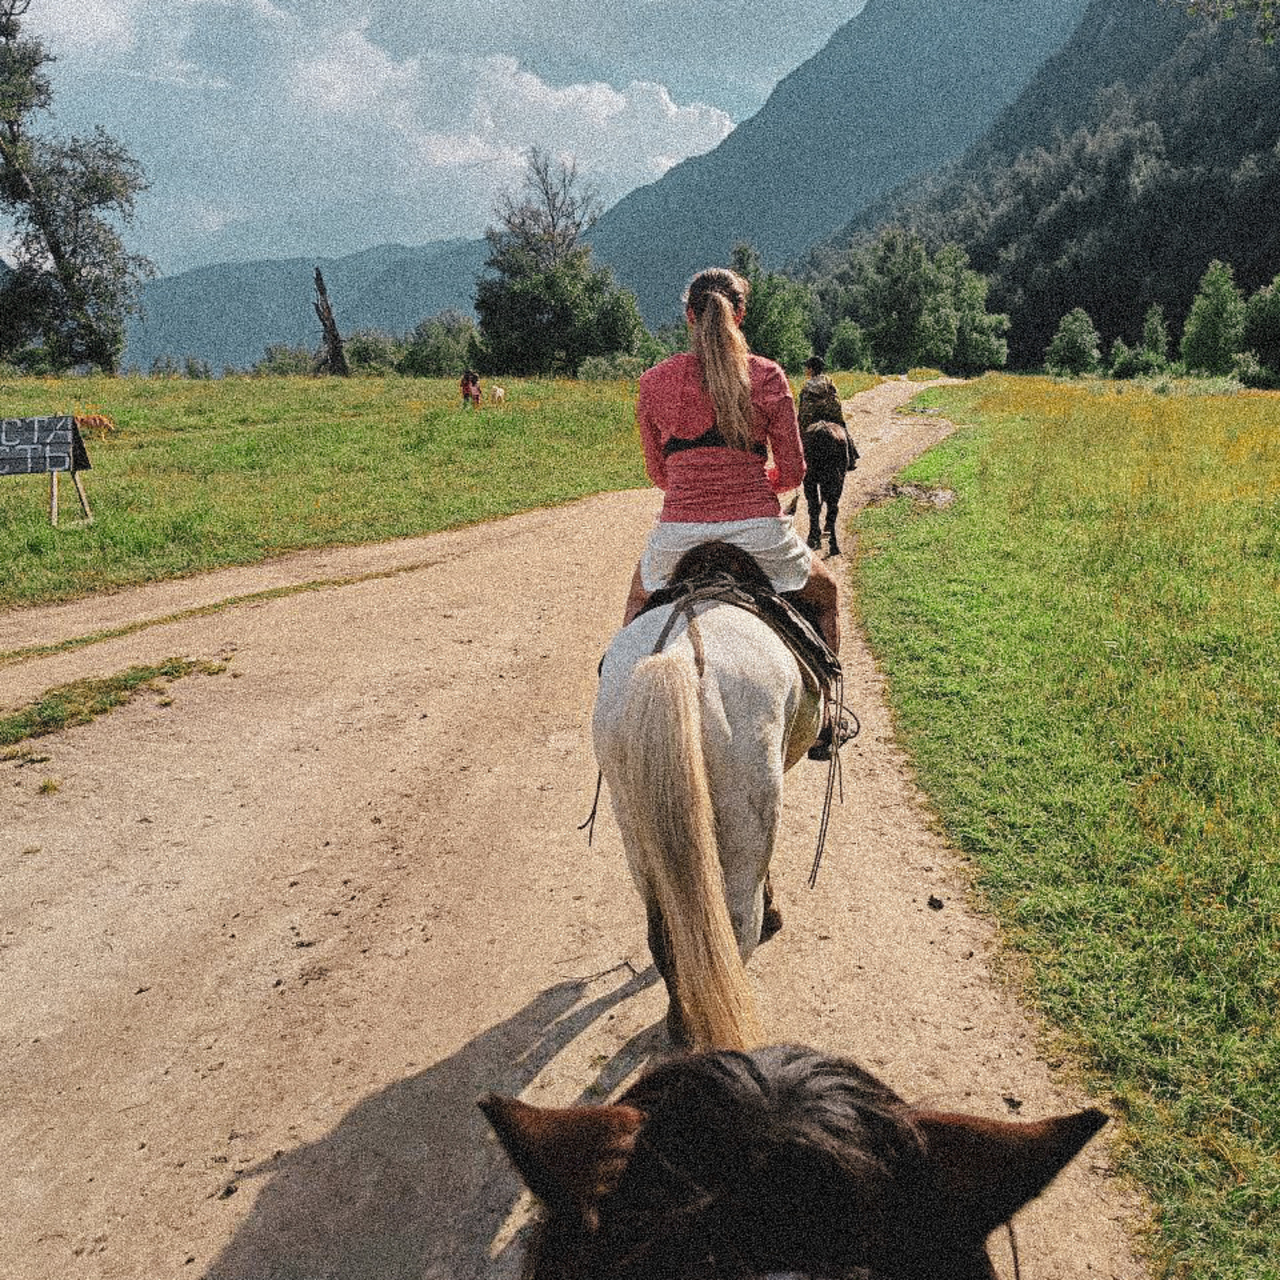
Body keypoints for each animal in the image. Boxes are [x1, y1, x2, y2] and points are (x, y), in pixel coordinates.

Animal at [592, 543, 826, 1053]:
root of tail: (680, 655)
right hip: (743, 823)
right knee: (736, 932)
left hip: (634, 826)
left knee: (664, 934)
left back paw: (681, 1027)